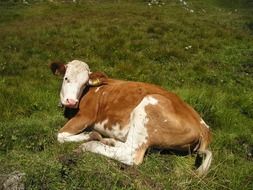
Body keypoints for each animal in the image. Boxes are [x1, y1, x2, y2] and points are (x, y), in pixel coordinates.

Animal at [49, 59, 211, 177]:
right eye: (66, 78)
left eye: (84, 84)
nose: (71, 101)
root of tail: (203, 127)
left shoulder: (85, 116)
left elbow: (60, 135)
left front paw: (90, 135)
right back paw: (109, 140)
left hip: (147, 107)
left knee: (132, 154)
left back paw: (89, 144)